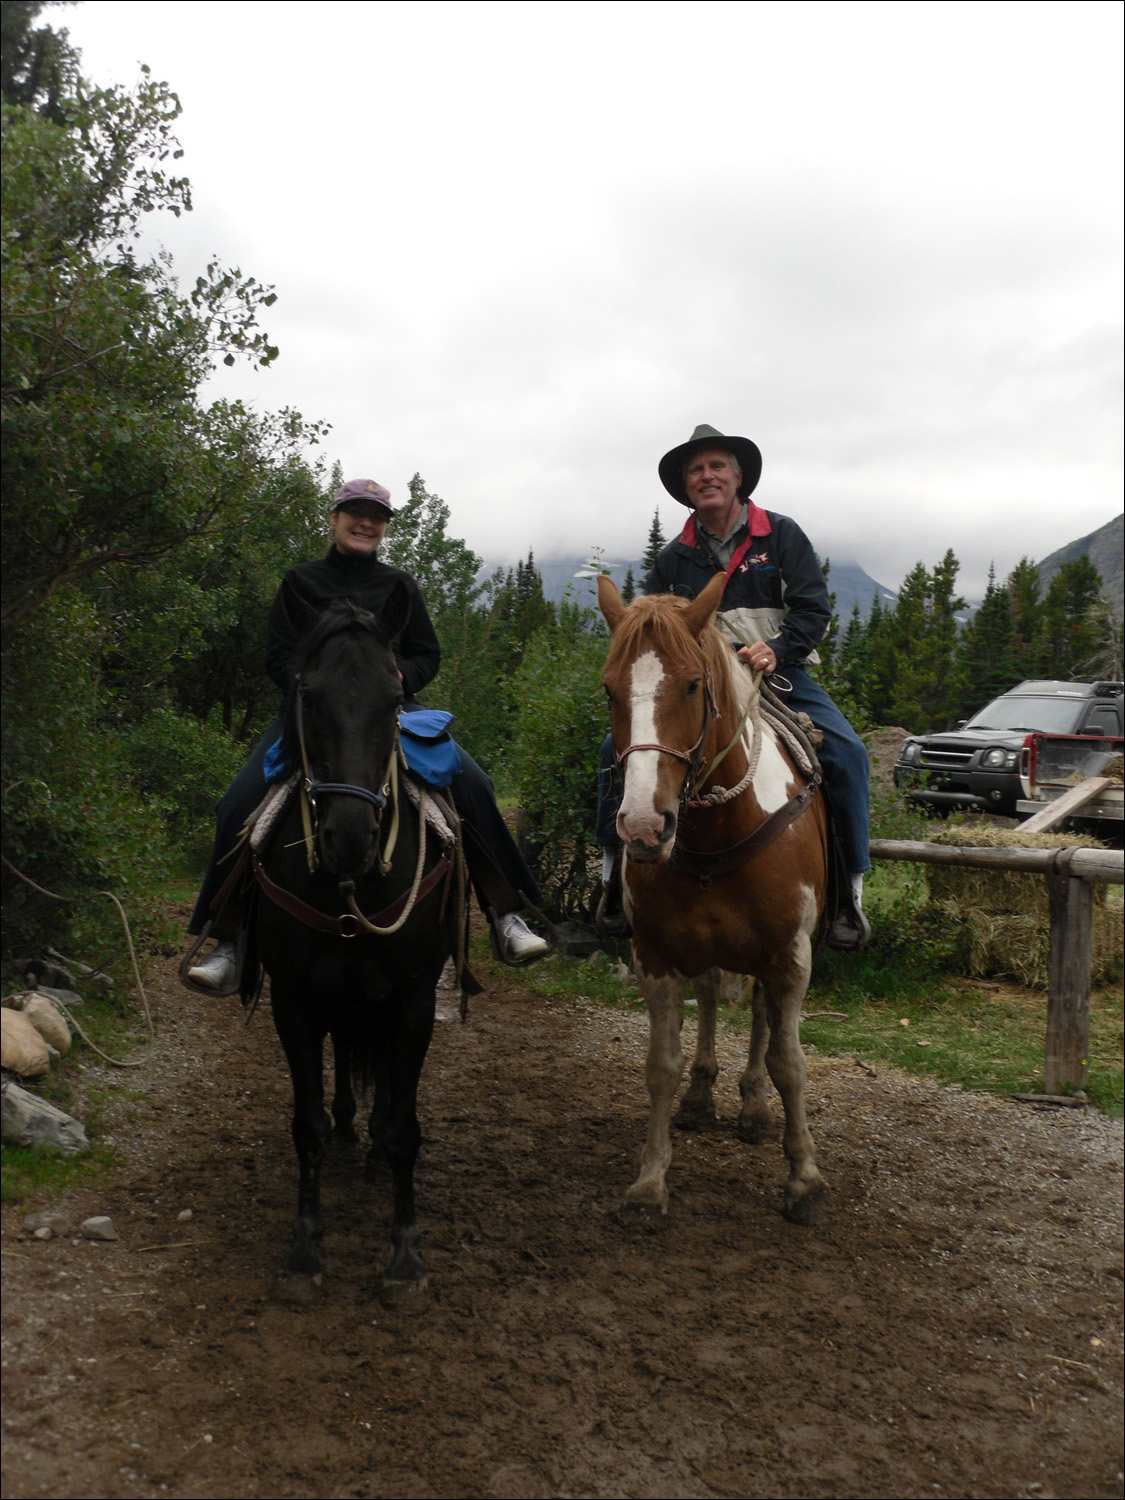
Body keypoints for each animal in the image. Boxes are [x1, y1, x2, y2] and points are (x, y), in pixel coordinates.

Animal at [244, 585, 459, 1302]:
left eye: (394, 699)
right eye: (308, 694)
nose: (349, 837)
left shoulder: (414, 1000)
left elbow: (403, 1128)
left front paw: (406, 1256)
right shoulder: (293, 1001)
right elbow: (305, 1125)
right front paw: (305, 1251)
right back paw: (346, 1132)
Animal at [600, 567, 840, 1224]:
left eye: (690, 685)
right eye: (609, 691)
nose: (643, 827)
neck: (717, 829)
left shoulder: (790, 957)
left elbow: (790, 1064)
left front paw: (805, 1180)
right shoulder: (655, 954)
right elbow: (661, 1065)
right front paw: (649, 1181)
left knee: (760, 1017)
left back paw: (753, 1109)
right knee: (709, 995)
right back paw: (702, 1097)